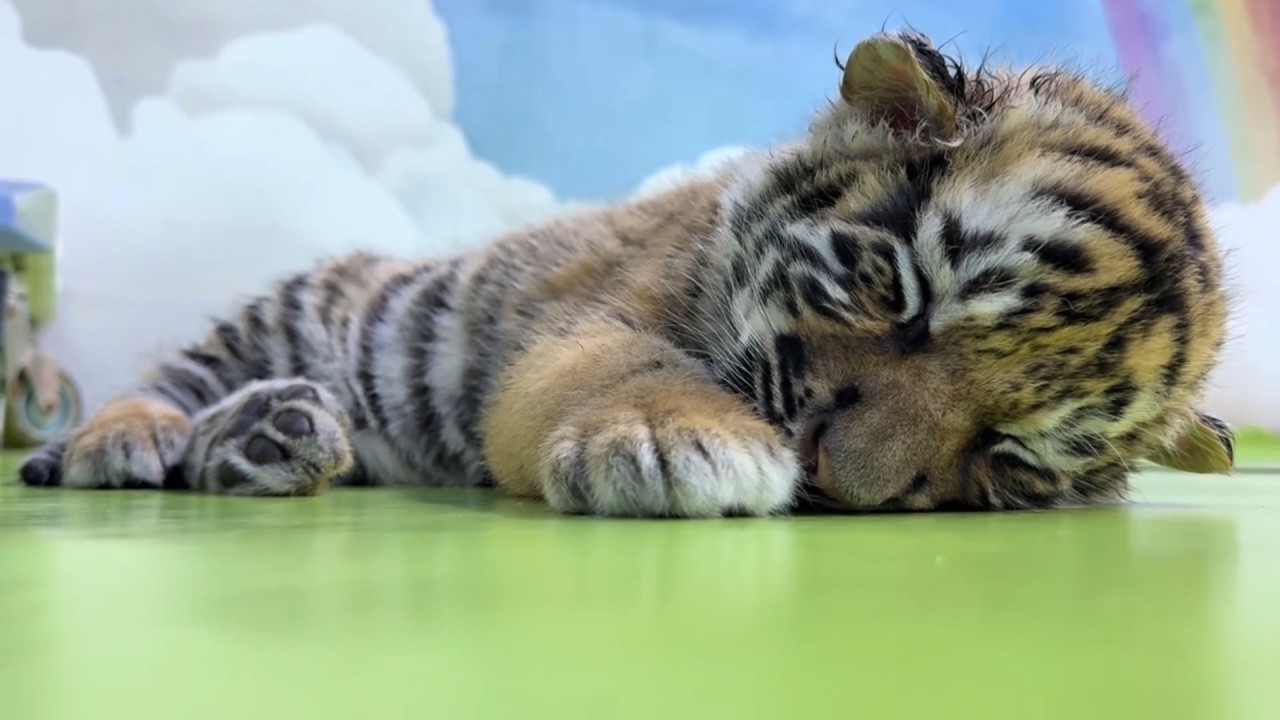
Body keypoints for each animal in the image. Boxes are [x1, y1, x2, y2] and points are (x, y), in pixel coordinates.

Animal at [18, 30, 1235, 517]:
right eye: (901, 295)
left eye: (1010, 455)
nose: (840, 484)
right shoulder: (594, 313)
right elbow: (620, 368)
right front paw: (673, 439)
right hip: (293, 309)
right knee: (169, 378)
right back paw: (130, 440)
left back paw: (273, 442)